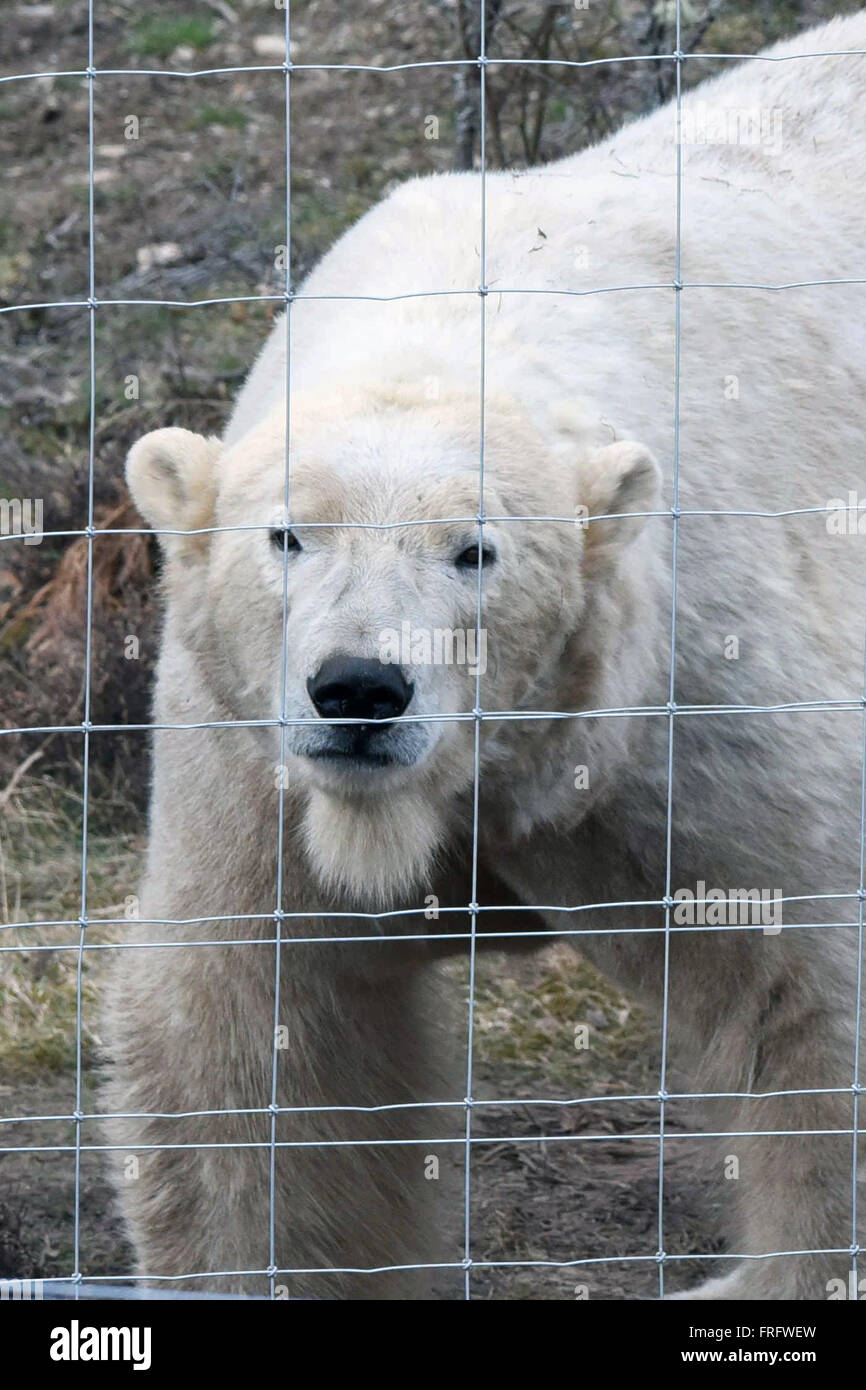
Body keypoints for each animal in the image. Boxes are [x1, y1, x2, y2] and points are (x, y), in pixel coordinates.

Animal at [104, 10, 866, 1295]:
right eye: (288, 534)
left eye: (475, 550)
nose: (359, 689)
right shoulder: (254, 757)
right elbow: (263, 1040)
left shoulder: (692, 702)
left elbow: (807, 989)